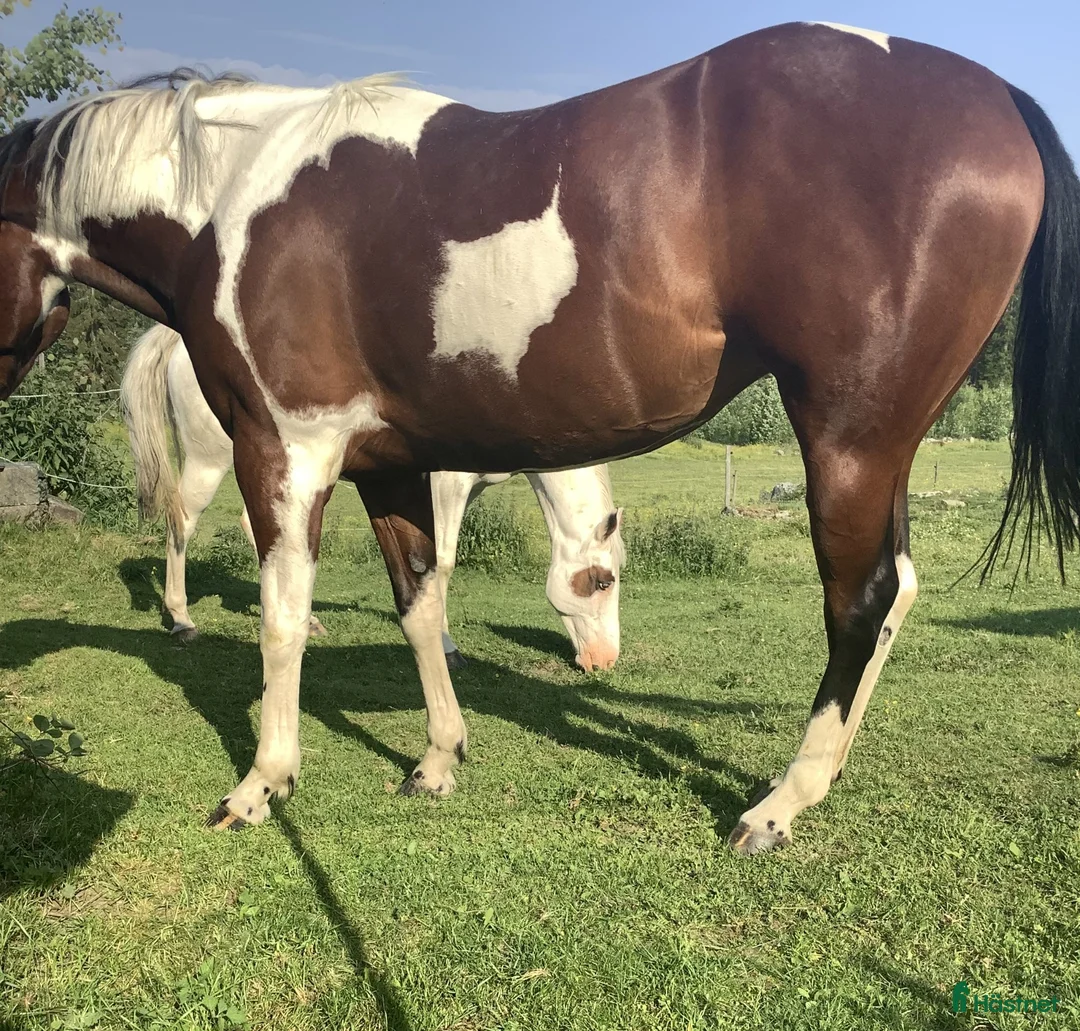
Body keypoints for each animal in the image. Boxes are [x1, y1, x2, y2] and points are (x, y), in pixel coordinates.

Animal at [120, 324, 624, 669]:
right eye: (602, 582)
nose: (605, 661)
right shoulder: (445, 486)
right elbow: (441, 563)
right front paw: (447, 647)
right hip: (210, 459)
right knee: (182, 520)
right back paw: (181, 619)